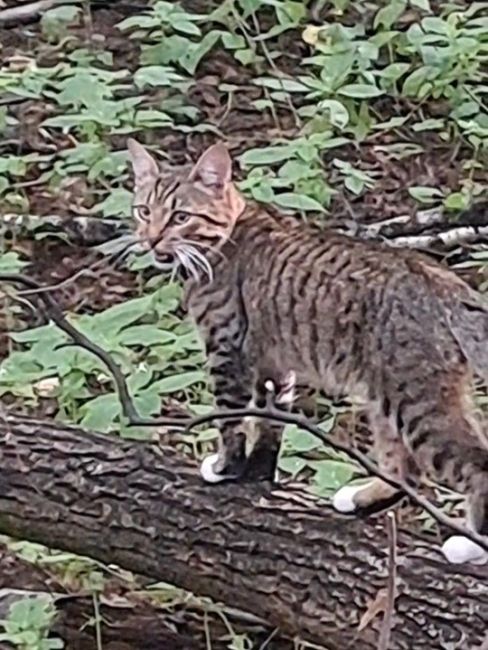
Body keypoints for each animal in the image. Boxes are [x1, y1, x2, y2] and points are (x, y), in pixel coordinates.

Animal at [127, 137, 488, 560]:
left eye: (180, 217)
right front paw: (257, 475)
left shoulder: (227, 349)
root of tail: (444, 282)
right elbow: (270, 422)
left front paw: (225, 469)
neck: (225, 240)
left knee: (473, 464)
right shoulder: (274, 365)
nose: (150, 239)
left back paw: (471, 545)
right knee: (404, 471)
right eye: (144, 210)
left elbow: (231, 419)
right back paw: (360, 499)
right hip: (385, 399)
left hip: (416, 403)